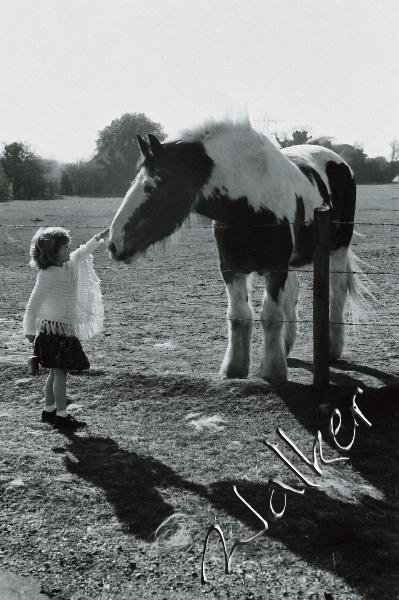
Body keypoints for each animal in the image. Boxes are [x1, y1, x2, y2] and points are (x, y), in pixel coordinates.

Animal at [108, 120, 360, 382]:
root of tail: (338, 160)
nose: (114, 242)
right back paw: (287, 346)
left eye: (149, 186)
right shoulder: (231, 268)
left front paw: (273, 371)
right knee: (292, 295)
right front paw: (235, 368)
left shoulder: (276, 268)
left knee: (337, 294)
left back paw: (332, 348)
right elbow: (239, 315)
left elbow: (270, 315)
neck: (250, 204)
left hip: (337, 250)